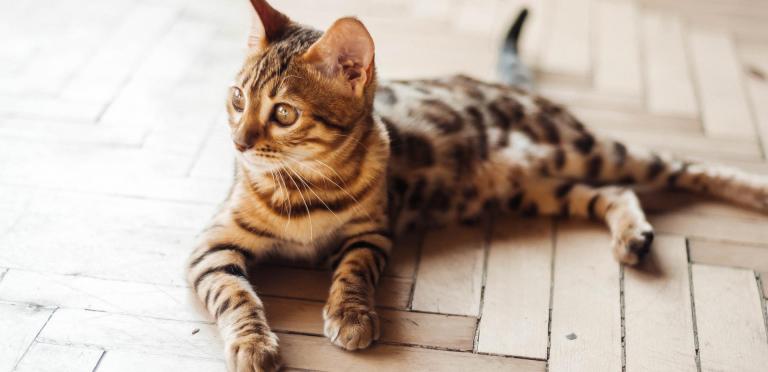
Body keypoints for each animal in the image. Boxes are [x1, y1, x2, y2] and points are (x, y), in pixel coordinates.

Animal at [186, 1, 768, 370]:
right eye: (237, 98)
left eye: (284, 113)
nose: (238, 142)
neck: (306, 186)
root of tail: (509, 86)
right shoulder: (210, 247)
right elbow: (234, 294)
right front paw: (253, 344)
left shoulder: (372, 233)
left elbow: (353, 271)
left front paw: (351, 314)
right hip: (536, 188)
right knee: (615, 193)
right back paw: (631, 236)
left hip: (582, 150)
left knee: (678, 165)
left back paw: (753, 191)